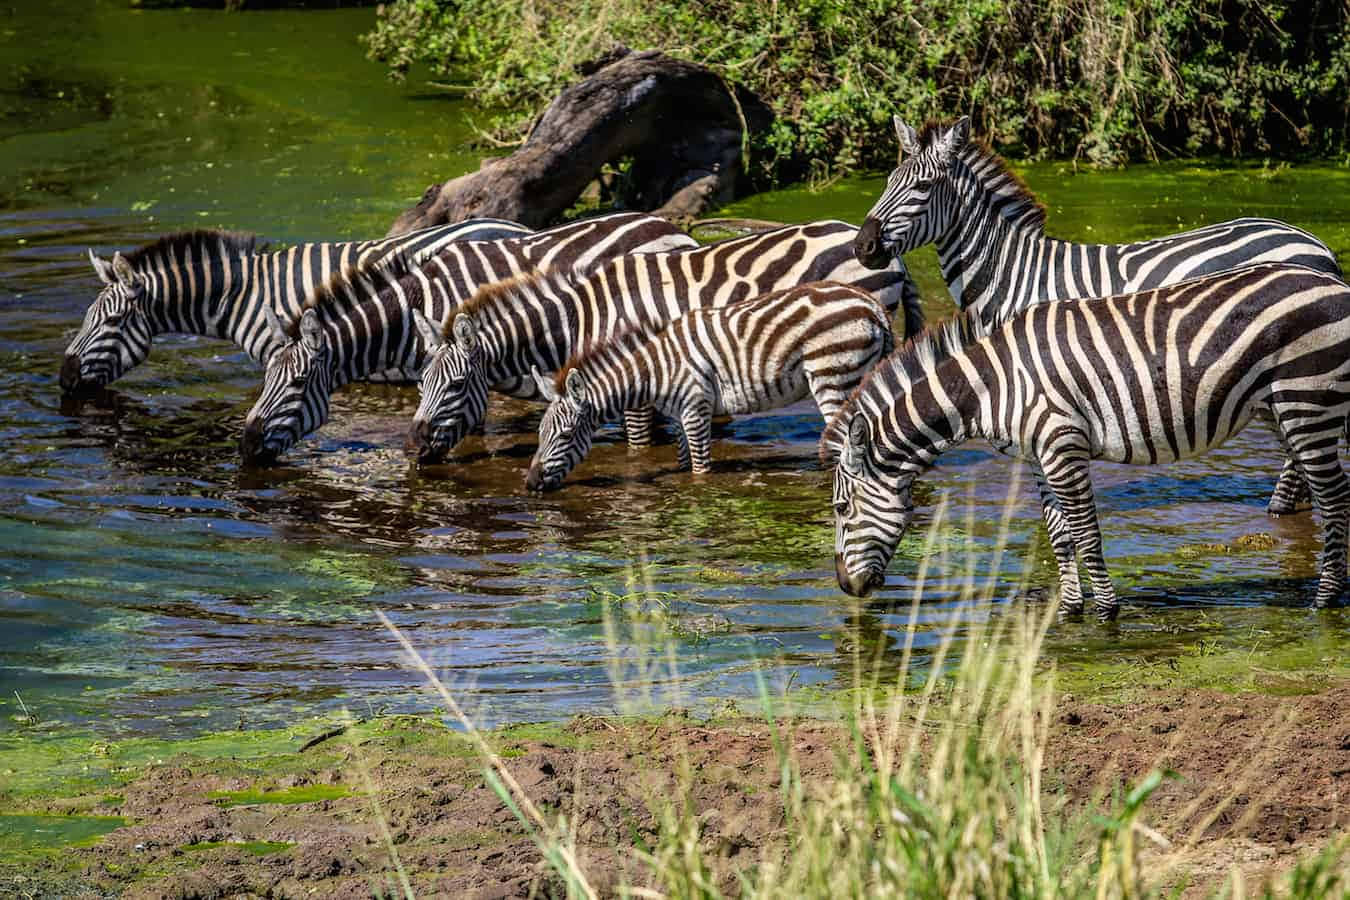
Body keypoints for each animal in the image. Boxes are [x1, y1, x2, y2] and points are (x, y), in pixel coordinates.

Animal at [408, 220, 921, 464]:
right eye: (419, 385)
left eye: (454, 387)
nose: (414, 444)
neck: (581, 316)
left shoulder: (633, 377)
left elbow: (637, 446)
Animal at [523, 282, 894, 491]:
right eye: (539, 434)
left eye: (566, 435)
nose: (530, 484)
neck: (656, 371)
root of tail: (871, 303)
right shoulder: (681, 415)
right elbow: (684, 461)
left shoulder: (696, 408)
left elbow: (701, 471)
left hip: (834, 377)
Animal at [823, 262, 1350, 620]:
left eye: (842, 509)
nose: (844, 586)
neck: (991, 385)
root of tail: (1334, 283)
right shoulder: (1038, 456)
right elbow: (1059, 535)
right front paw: (1069, 610)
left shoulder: (1062, 442)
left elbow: (1087, 532)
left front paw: (1106, 612)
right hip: (1289, 411)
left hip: (1308, 402)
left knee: (1335, 499)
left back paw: (1324, 600)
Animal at [853, 117, 1344, 517]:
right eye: (888, 182)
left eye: (922, 188)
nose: (863, 247)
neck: (1014, 274)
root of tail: (1314, 240)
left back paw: (1279, 508)